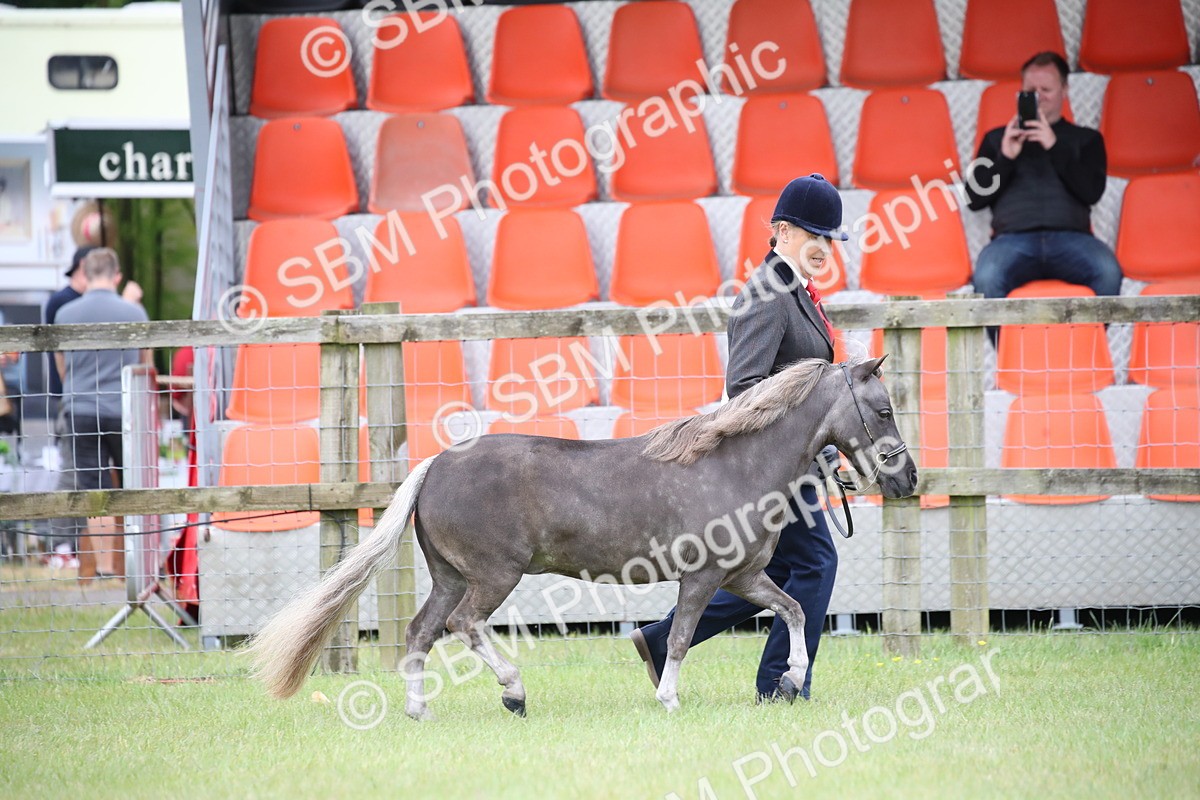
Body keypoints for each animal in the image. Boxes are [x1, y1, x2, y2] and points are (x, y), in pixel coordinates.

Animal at [247, 355, 919, 718]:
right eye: (883, 409)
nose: (908, 476)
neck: (735, 465)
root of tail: (436, 463)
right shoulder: (702, 576)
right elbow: (680, 637)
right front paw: (669, 699)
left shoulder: (745, 576)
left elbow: (796, 610)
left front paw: (791, 680)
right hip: (493, 575)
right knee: (464, 626)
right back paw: (514, 693)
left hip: (451, 576)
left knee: (420, 632)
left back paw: (419, 710)